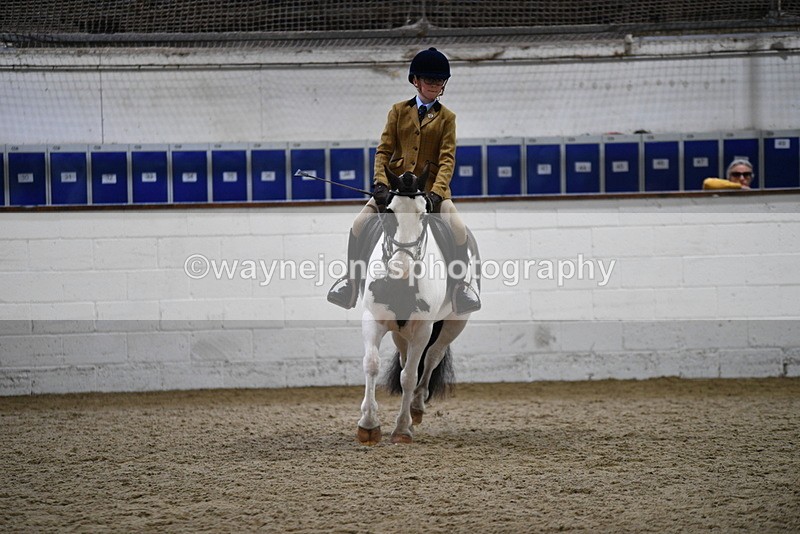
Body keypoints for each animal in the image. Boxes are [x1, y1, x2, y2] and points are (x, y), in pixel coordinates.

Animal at [356, 167, 479, 445]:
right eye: (390, 211)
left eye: (424, 214)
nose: (401, 267)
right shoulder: (373, 319)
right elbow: (372, 364)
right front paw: (368, 424)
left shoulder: (422, 329)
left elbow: (410, 376)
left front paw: (402, 428)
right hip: (400, 331)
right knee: (404, 358)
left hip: (455, 322)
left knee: (433, 356)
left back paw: (417, 406)